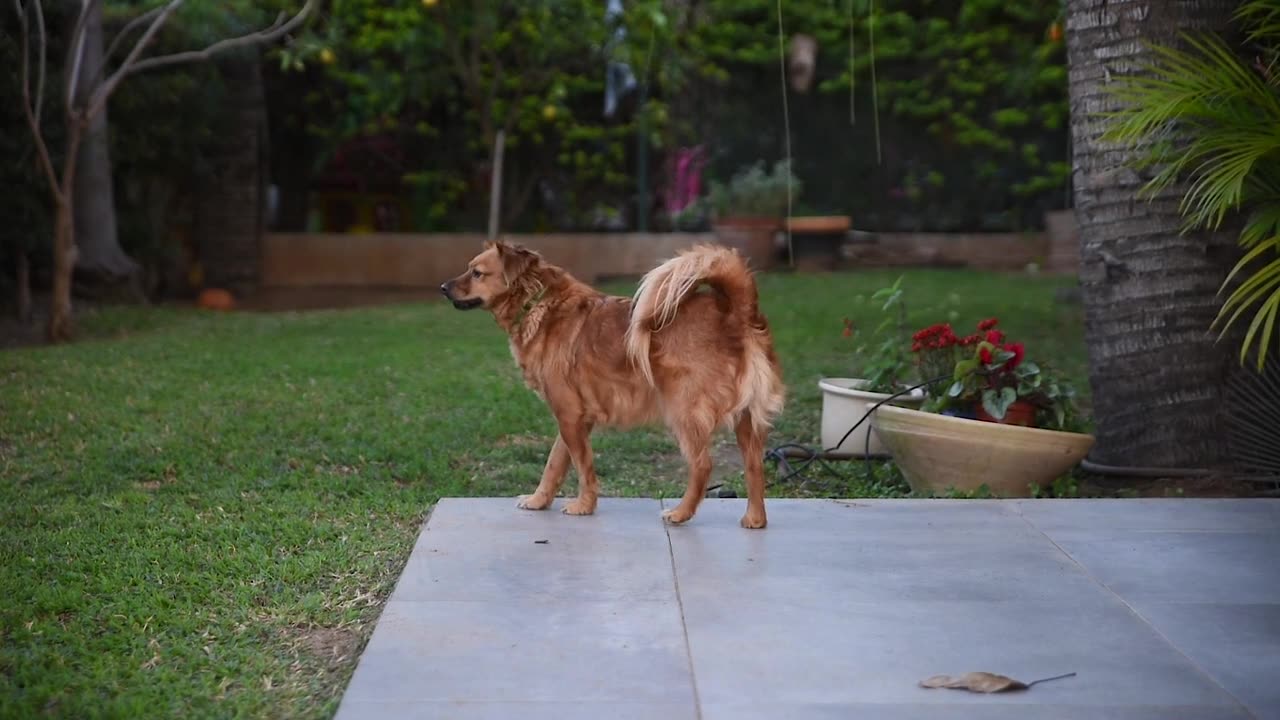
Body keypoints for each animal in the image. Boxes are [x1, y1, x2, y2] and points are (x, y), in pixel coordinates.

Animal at [440, 240, 783, 527]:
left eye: (477, 273)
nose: (442, 287)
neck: (537, 302)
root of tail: (735, 311)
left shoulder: (570, 416)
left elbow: (583, 467)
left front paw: (583, 506)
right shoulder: (573, 419)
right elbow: (555, 463)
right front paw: (539, 501)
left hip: (683, 410)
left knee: (702, 465)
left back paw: (681, 513)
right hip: (746, 420)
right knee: (754, 465)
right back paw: (755, 519)